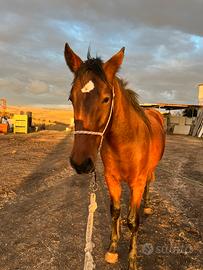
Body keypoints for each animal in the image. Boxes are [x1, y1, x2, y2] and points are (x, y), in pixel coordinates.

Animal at [64, 43, 166, 268]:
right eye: (71, 98)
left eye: (106, 99)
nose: (80, 163)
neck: (126, 143)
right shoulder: (111, 179)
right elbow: (115, 212)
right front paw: (112, 249)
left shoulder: (137, 181)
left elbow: (133, 221)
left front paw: (133, 260)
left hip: (149, 171)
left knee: (149, 184)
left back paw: (146, 206)